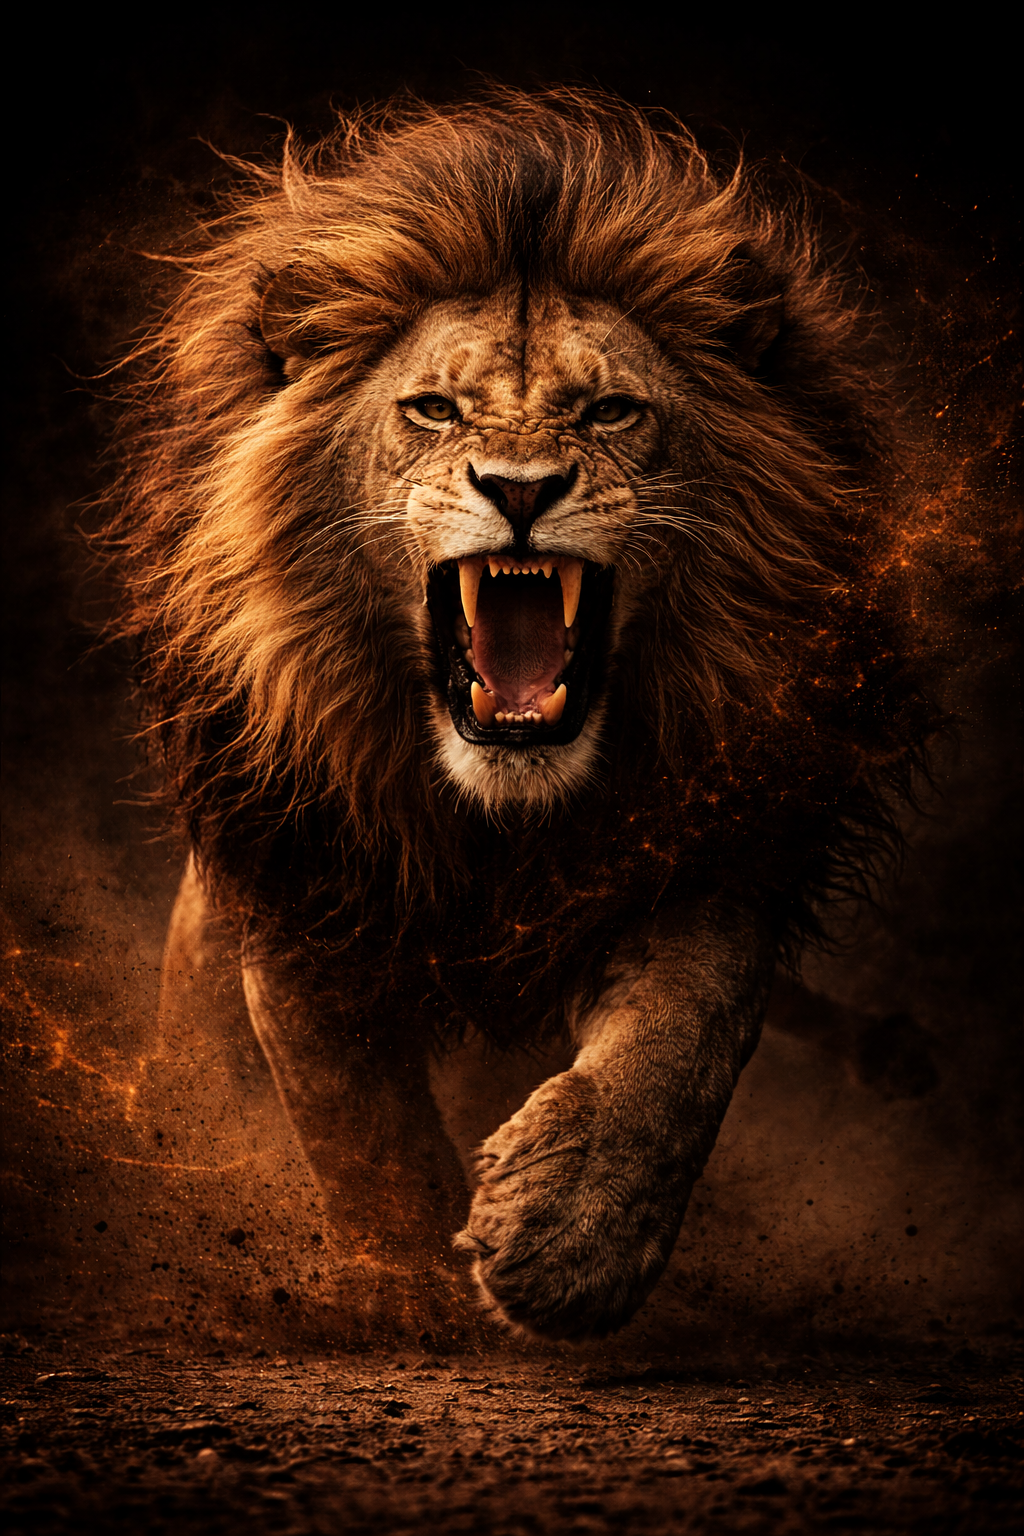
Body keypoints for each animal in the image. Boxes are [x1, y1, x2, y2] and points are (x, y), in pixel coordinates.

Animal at [110, 89, 939, 1342]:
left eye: (610, 411)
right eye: (432, 409)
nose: (518, 490)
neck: (500, 812)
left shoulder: (712, 843)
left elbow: (685, 1037)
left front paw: (571, 1240)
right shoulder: (301, 872)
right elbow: (354, 1113)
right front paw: (407, 1282)